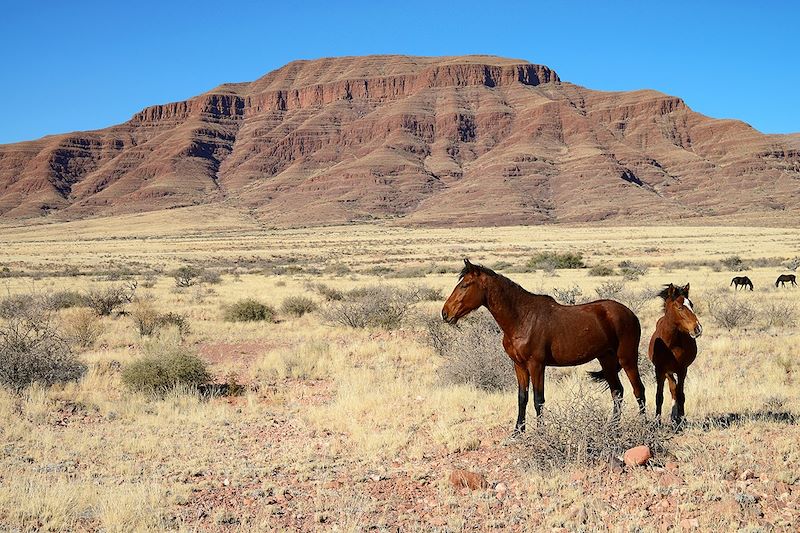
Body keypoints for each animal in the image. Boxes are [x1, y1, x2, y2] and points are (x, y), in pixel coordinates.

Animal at [440, 258, 648, 432]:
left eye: (465, 285)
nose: (445, 313)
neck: (522, 318)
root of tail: (630, 314)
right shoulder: (519, 366)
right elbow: (522, 398)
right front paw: (518, 432)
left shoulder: (537, 365)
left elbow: (538, 399)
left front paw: (541, 433)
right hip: (606, 359)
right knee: (617, 392)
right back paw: (612, 428)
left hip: (627, 359)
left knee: (639, 390)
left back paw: (645, 426)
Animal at [648, 284, 704, 426]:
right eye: (679, 307)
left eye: (691, 304)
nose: (698, 328)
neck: (671, 344)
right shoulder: (660, 370)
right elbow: (659, 396)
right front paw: (657, 421)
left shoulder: (682, 370)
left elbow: (681, 394)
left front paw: (681, 419)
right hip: (668, 371)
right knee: (672, 388)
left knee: (676, 390)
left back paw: (675, 417)